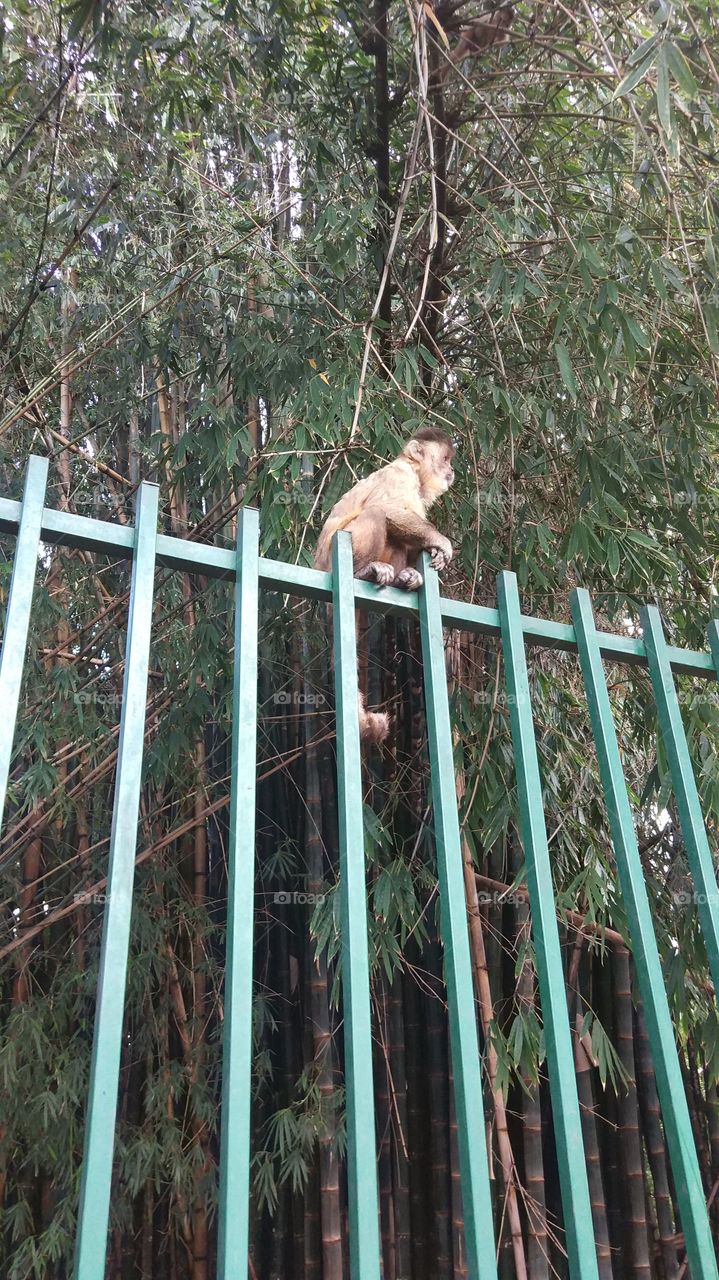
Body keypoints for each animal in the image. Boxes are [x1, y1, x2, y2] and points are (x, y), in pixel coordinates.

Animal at [314, 427, 456, 743]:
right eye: (445, 459)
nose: (452, 470)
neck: (413, 472)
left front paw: (423, 566)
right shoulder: (399, 475)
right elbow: (390, 508)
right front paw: (441, 543)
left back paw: (406, 578)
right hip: (334, 557)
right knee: (378, 513)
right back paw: (363, 571)